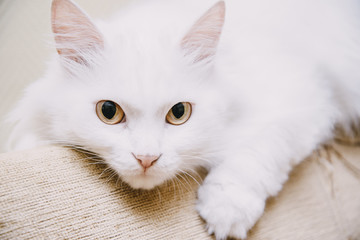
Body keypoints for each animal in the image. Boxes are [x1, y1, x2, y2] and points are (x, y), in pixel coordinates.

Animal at [6, 0, 360, 239]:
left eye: (179, 113)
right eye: (108, 112)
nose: (146, 158)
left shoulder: (303, 99)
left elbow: (255, 153)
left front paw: (226, 210)